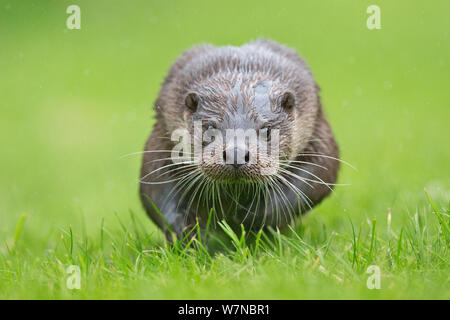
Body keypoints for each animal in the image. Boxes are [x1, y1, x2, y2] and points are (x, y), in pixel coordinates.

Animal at [139, 39, 340, 240]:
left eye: (266, 130)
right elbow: (157, 189)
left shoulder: (316, 132)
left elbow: (313, 178)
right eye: (209, 128)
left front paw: (254, 217)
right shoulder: (163, 136)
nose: (236, 154)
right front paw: (189, 232)